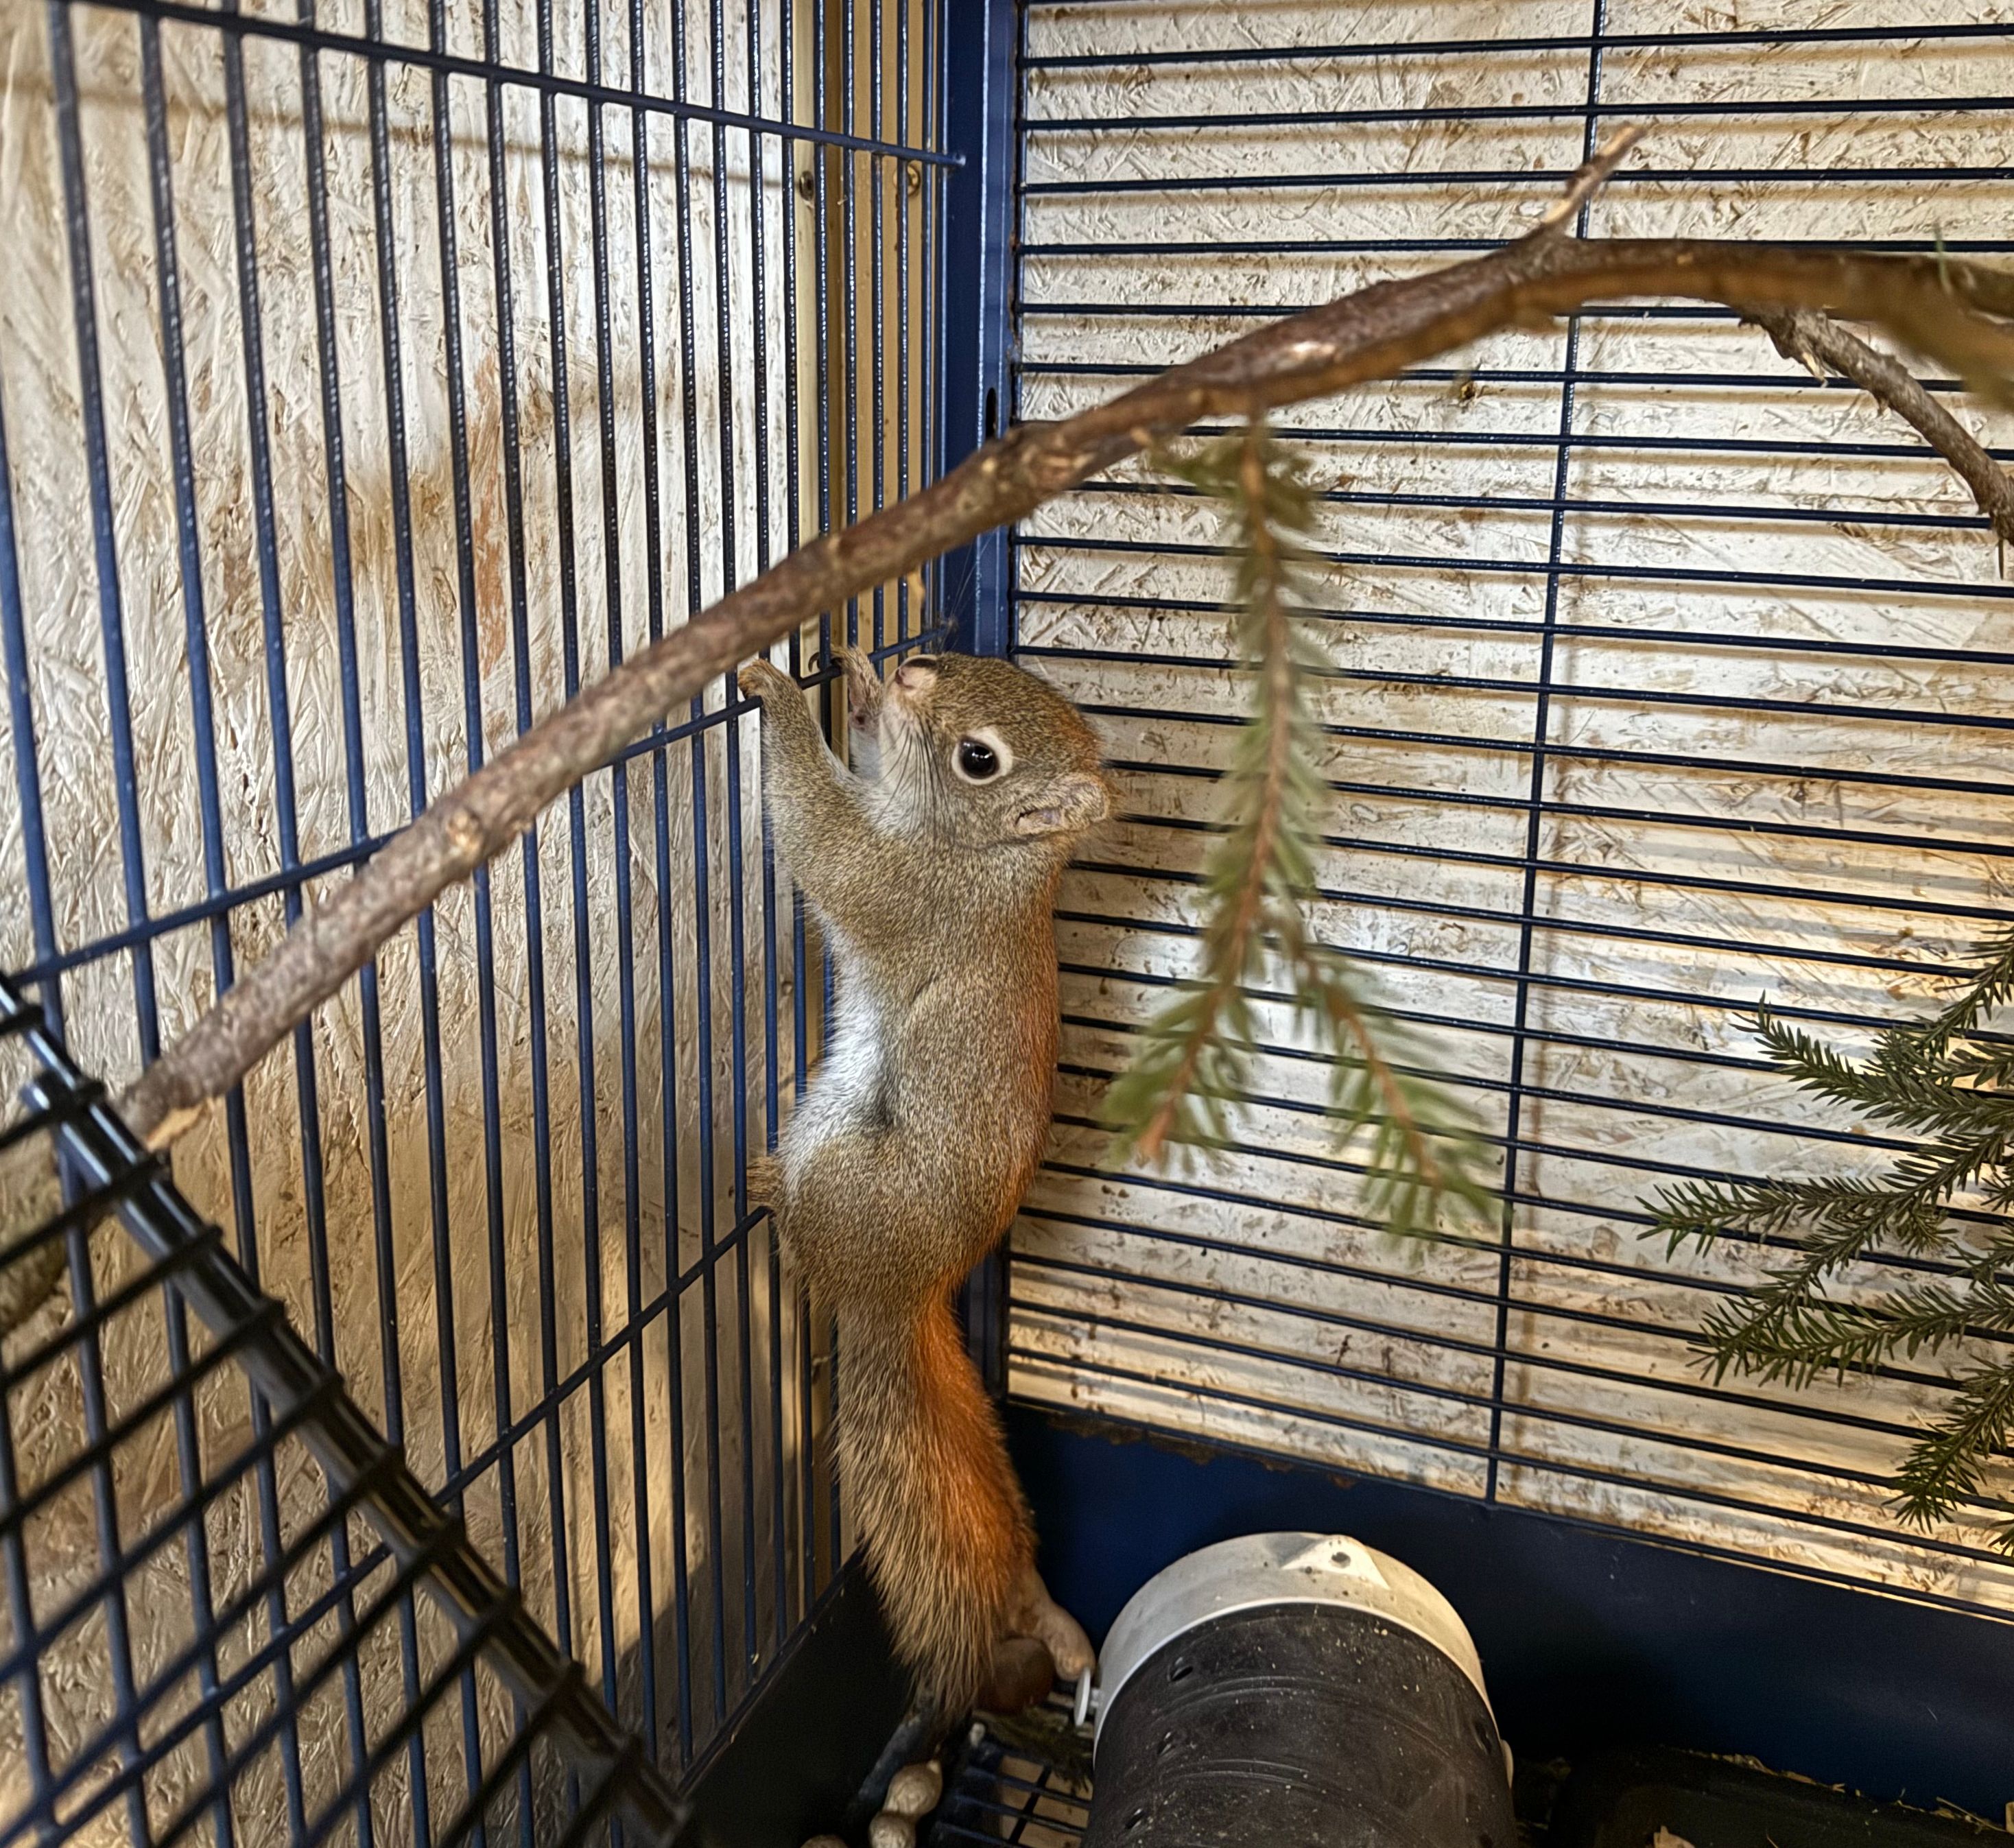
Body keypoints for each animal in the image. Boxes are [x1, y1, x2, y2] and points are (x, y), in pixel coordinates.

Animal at [736, 642, 1106, 1721]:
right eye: (979, 660)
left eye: (979, 759)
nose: (913, 668)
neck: (986, 862)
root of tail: (901, 1295)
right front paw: (854, 685)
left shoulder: (902, 888)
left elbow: (820, 837)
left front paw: (778, 695)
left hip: (843, 1177)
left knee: (807, 1240)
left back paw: (768, 1188)